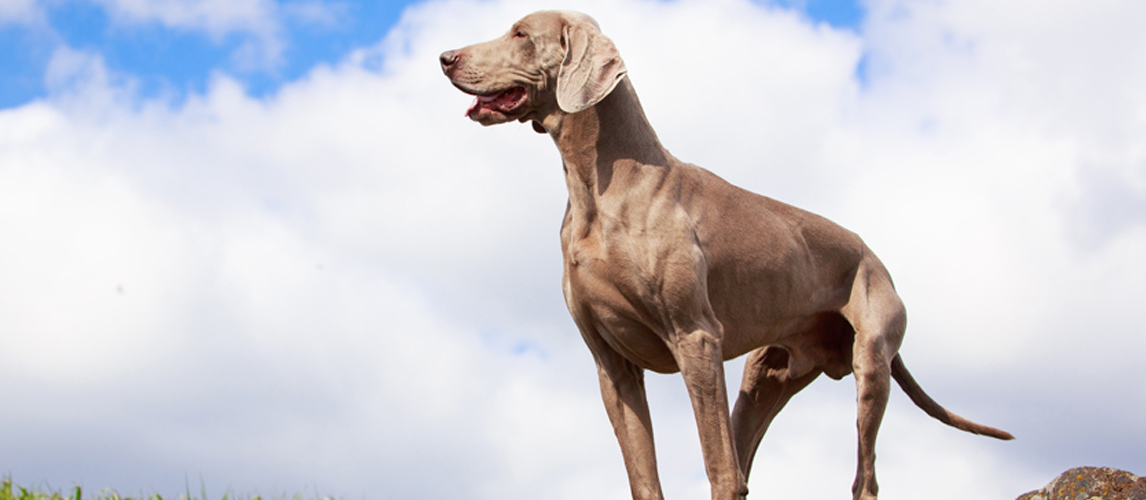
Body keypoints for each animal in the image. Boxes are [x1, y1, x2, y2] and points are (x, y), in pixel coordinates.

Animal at [437, 8, 1013, 499]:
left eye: (519, 33)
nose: (445, 56)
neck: (598, 188)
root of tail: (874, 257)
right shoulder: (611, 365)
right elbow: (645, 476)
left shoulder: (696, 338)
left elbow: (717, 466)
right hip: (765, 378)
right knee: (748, 461)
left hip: (870, 361)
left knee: (856, 477)